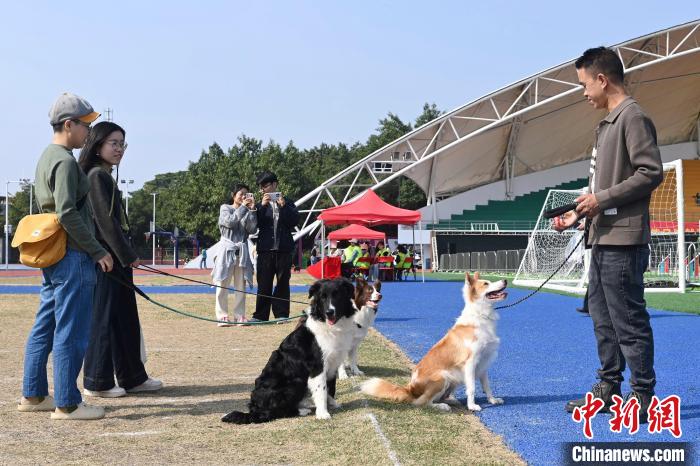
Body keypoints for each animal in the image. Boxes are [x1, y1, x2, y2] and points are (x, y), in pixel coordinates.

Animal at [364, 274, 506, 412]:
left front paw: (492, 400)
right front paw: (472, 406)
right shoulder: (470, 363)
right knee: (423, 402)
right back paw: (441, 406)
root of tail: (410, 389)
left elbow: (487, 386)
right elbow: (471, 388)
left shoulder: (483, 363)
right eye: (486, 284)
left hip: (453, 379)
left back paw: (451, 401)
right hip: (442, 377)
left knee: (439, 397)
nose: (505, 280)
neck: (481, 316)